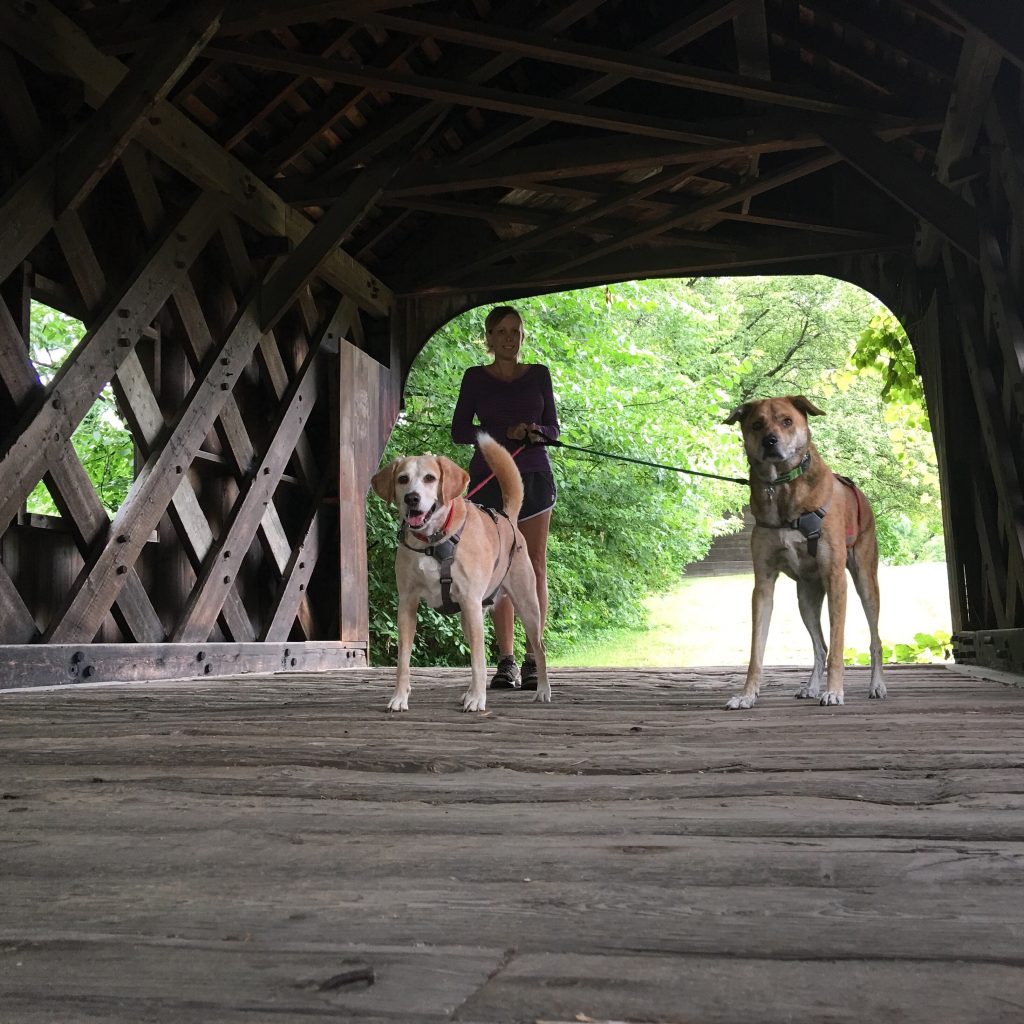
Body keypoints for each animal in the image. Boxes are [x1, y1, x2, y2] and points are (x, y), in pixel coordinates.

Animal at [370, 432, 552, 712]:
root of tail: (507, 519)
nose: (412, 498)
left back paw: (542, 689)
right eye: (402, 479)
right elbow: (403, 661)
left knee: (539, 648)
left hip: (526, 607)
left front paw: (477, 699)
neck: (433, 541)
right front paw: (399, 697)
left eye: (430, 478)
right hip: (470, 617)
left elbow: (478, 661)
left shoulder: (470, 601)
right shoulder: (407, 605)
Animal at [724, 395, 884, 708]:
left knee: (874, 640)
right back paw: (811, 686)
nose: (770, 441)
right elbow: (756, 651)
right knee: (819, 645)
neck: (783, 488)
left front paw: (834, 691)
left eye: (787, 420)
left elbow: (838, 645)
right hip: (806, 598)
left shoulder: (836, 578)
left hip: (865, 581)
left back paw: (877, 685)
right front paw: (747, 695)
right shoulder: (763, 584)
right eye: (757, 424)